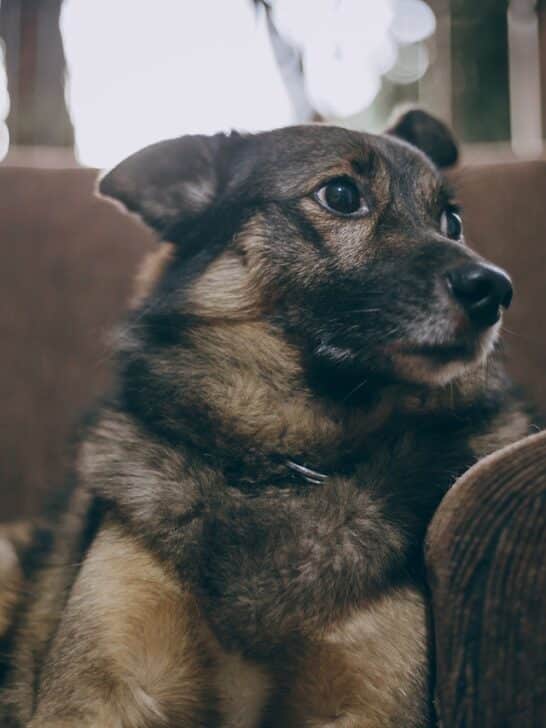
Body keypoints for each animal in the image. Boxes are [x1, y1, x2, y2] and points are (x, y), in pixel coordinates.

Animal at [0, 109, 528, 728]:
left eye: (452, 221)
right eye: (341, 196)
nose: (495, 289)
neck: (285, 463)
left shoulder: (375, 703)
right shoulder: (94, 692)